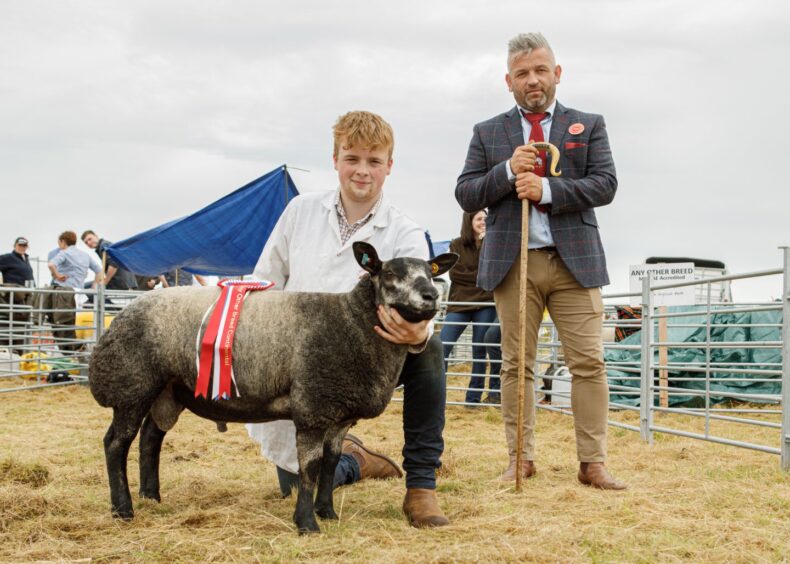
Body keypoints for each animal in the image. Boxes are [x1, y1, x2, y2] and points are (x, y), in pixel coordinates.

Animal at [86, 242, 458, 532]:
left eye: (431, 272)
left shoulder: (338, 415)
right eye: (390, 274)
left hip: (168, 391)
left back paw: (152, 497)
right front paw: (307, 524)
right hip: (133, 386)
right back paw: (123, 509)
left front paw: (328, 512)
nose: (431, 296)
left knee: (151, 438)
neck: (353, 322)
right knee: (116, 443)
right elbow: (309, 467)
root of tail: (121, 316)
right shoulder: (313, 405)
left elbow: (330, 463)